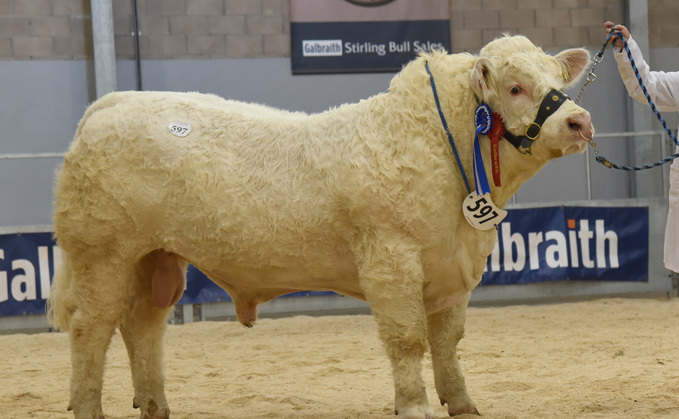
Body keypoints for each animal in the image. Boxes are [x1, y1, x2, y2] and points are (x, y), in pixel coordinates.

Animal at [47, 36, 592, 419]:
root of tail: (113, 103)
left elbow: (447, 342)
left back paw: (156, 405)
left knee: (143, 325)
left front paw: (461, 403)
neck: (438, 147)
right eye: (516, 87)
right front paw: (414, 405)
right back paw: (91, 408)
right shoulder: (391, 263)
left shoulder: (451, 267)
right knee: (91, 328)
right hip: (104, 254)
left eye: (558, 79)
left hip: (156, 259)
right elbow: (407, 340)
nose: (580, 121)